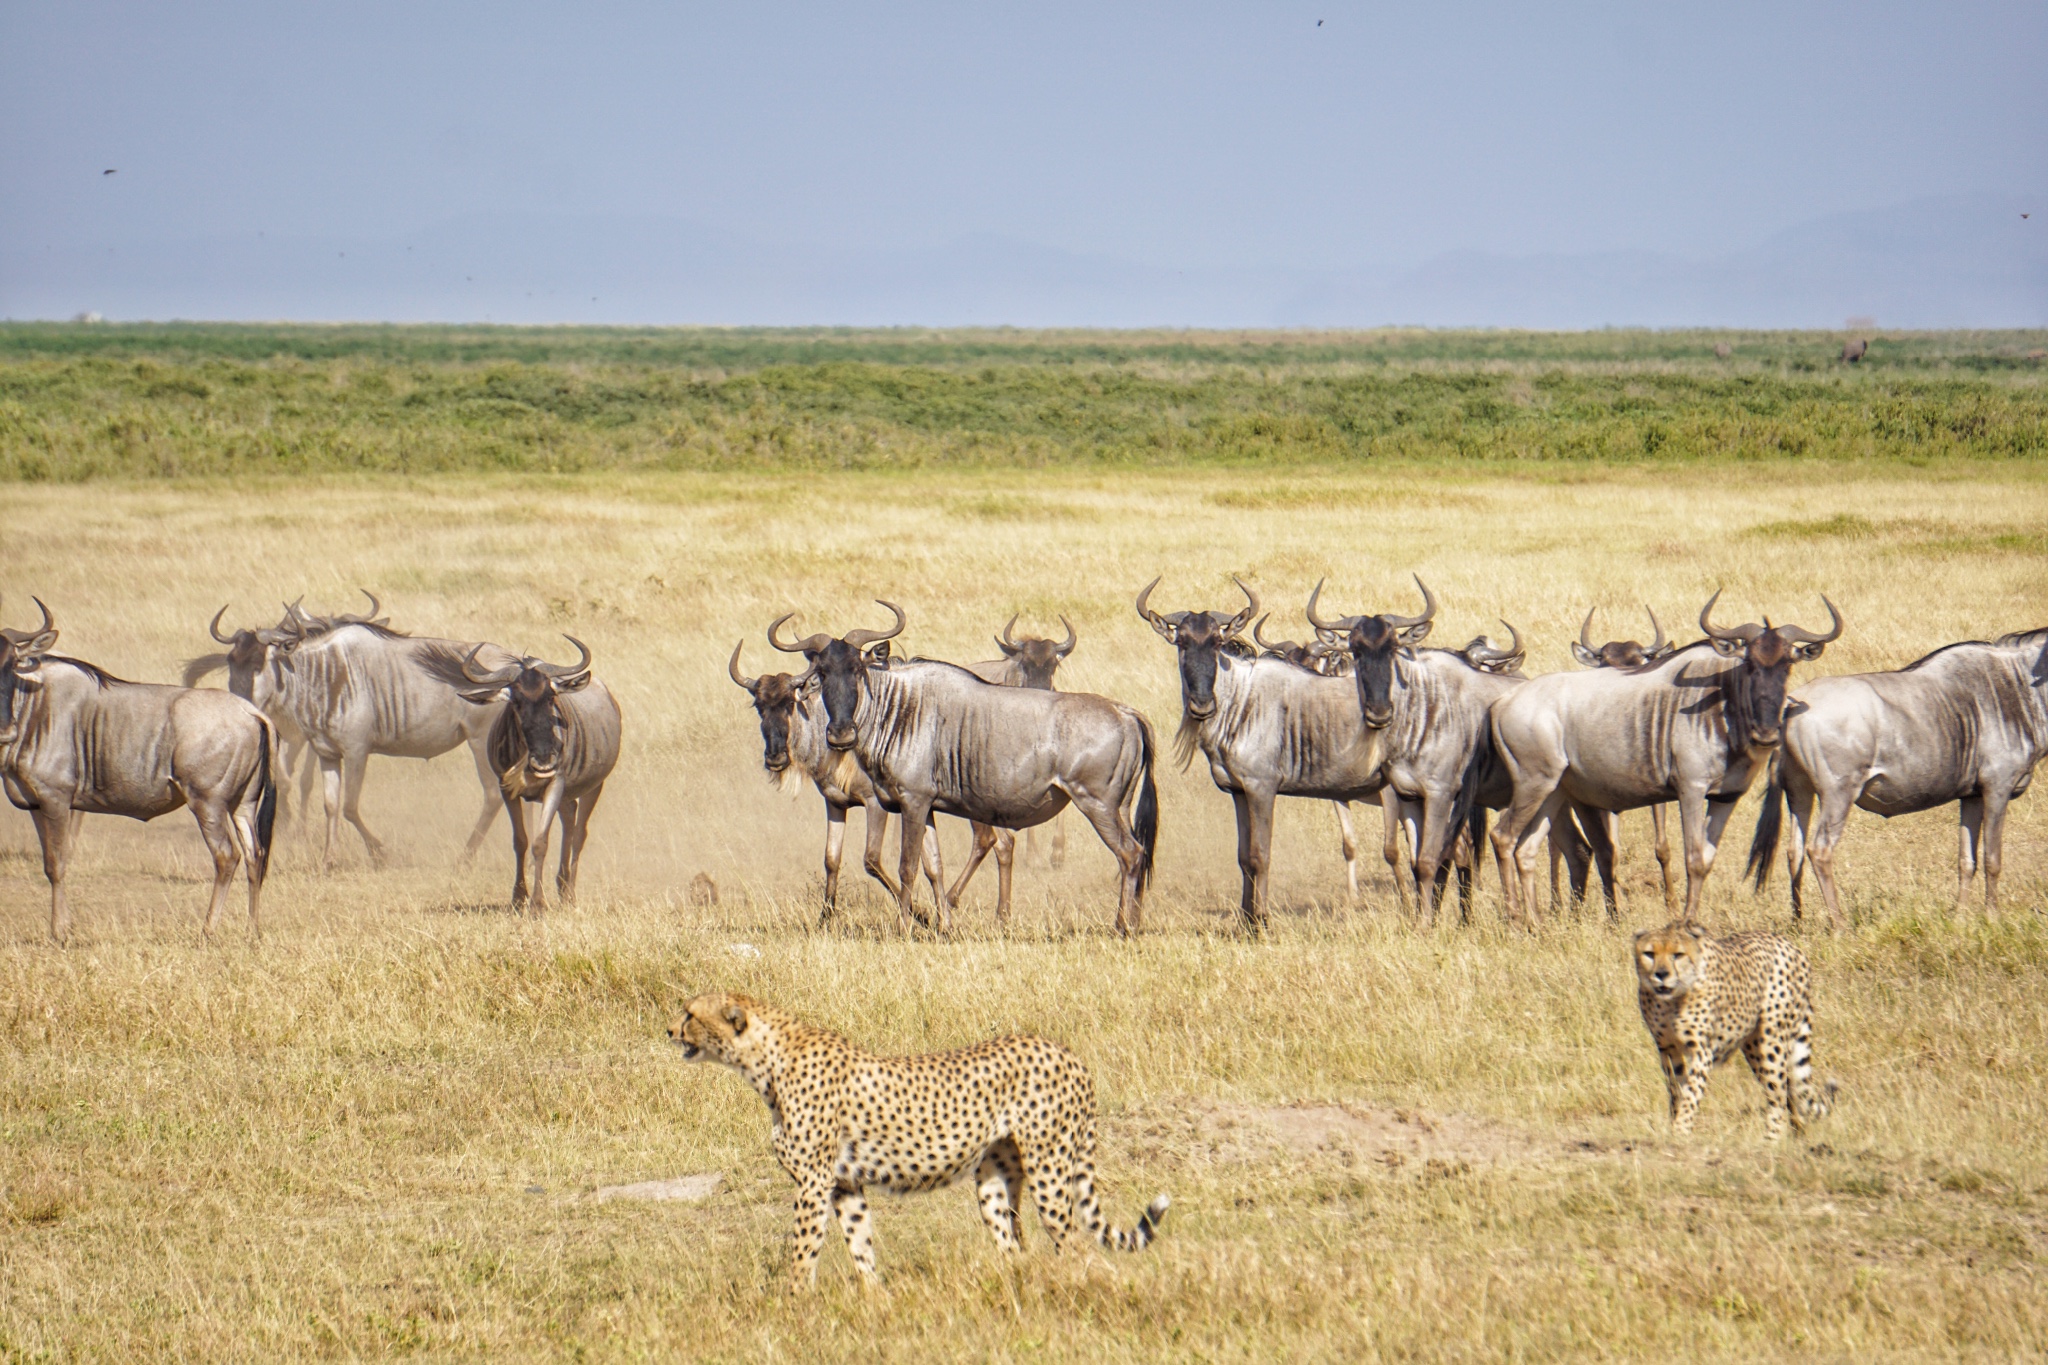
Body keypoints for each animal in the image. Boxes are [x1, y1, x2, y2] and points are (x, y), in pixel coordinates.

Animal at [663, 994, 1163, 1293]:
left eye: (689, 1014)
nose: (668, 1030)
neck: (763, 1062)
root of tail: (1067, 1052)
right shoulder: (844, 1183)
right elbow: (860, 1242)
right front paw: (874, 1299)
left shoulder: (813, 1182)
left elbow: (803, 1248)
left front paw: (793, 1301)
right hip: (994, 1178)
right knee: (1014, 1240)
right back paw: (1014, 1283)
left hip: (1050, 1169)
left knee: (1072, 1241)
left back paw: (1071, 1286)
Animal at [1630, 916, 1843, 1146]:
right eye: (1649, 954)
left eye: (1677, 955)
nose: (1661, 974)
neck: (1671, 1000)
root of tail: (1791, 945)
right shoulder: (1667, 1049)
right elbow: (1676, 1089)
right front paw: (1675, 1123)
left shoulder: (1701, 1050)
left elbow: (1692, 1091)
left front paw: (1680, 1130)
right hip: (1753, 1047)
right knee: (1789, 1087)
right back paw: (1797, 1134)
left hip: (1771, 1040)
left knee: (1777, 1091)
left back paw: (1773, 1140)